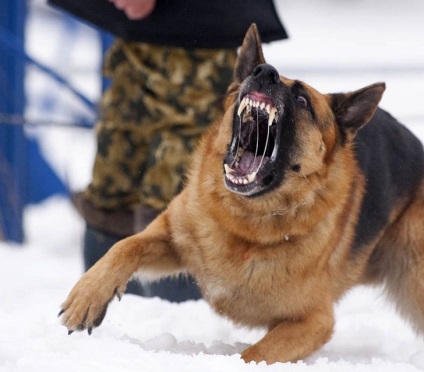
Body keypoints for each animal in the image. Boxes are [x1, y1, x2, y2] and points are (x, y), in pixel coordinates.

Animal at [60, 25, 424, 364]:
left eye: (303, 100)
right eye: (257, 74)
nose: (264, 72)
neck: (247, 222)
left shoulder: (313, 322)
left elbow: (253, 355)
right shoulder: (172, 238)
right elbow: (125, 246)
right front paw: (87, 296)